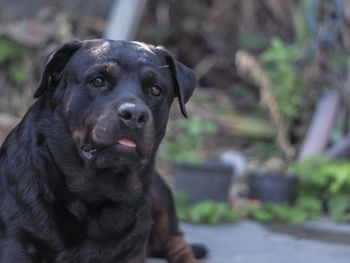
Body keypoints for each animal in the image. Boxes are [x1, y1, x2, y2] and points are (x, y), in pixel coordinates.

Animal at [0, 39, 202, 263]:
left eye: (156, 90)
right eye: (97, 81)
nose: (134, 114)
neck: (97, 192)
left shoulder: (133, 249)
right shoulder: (20, 239)